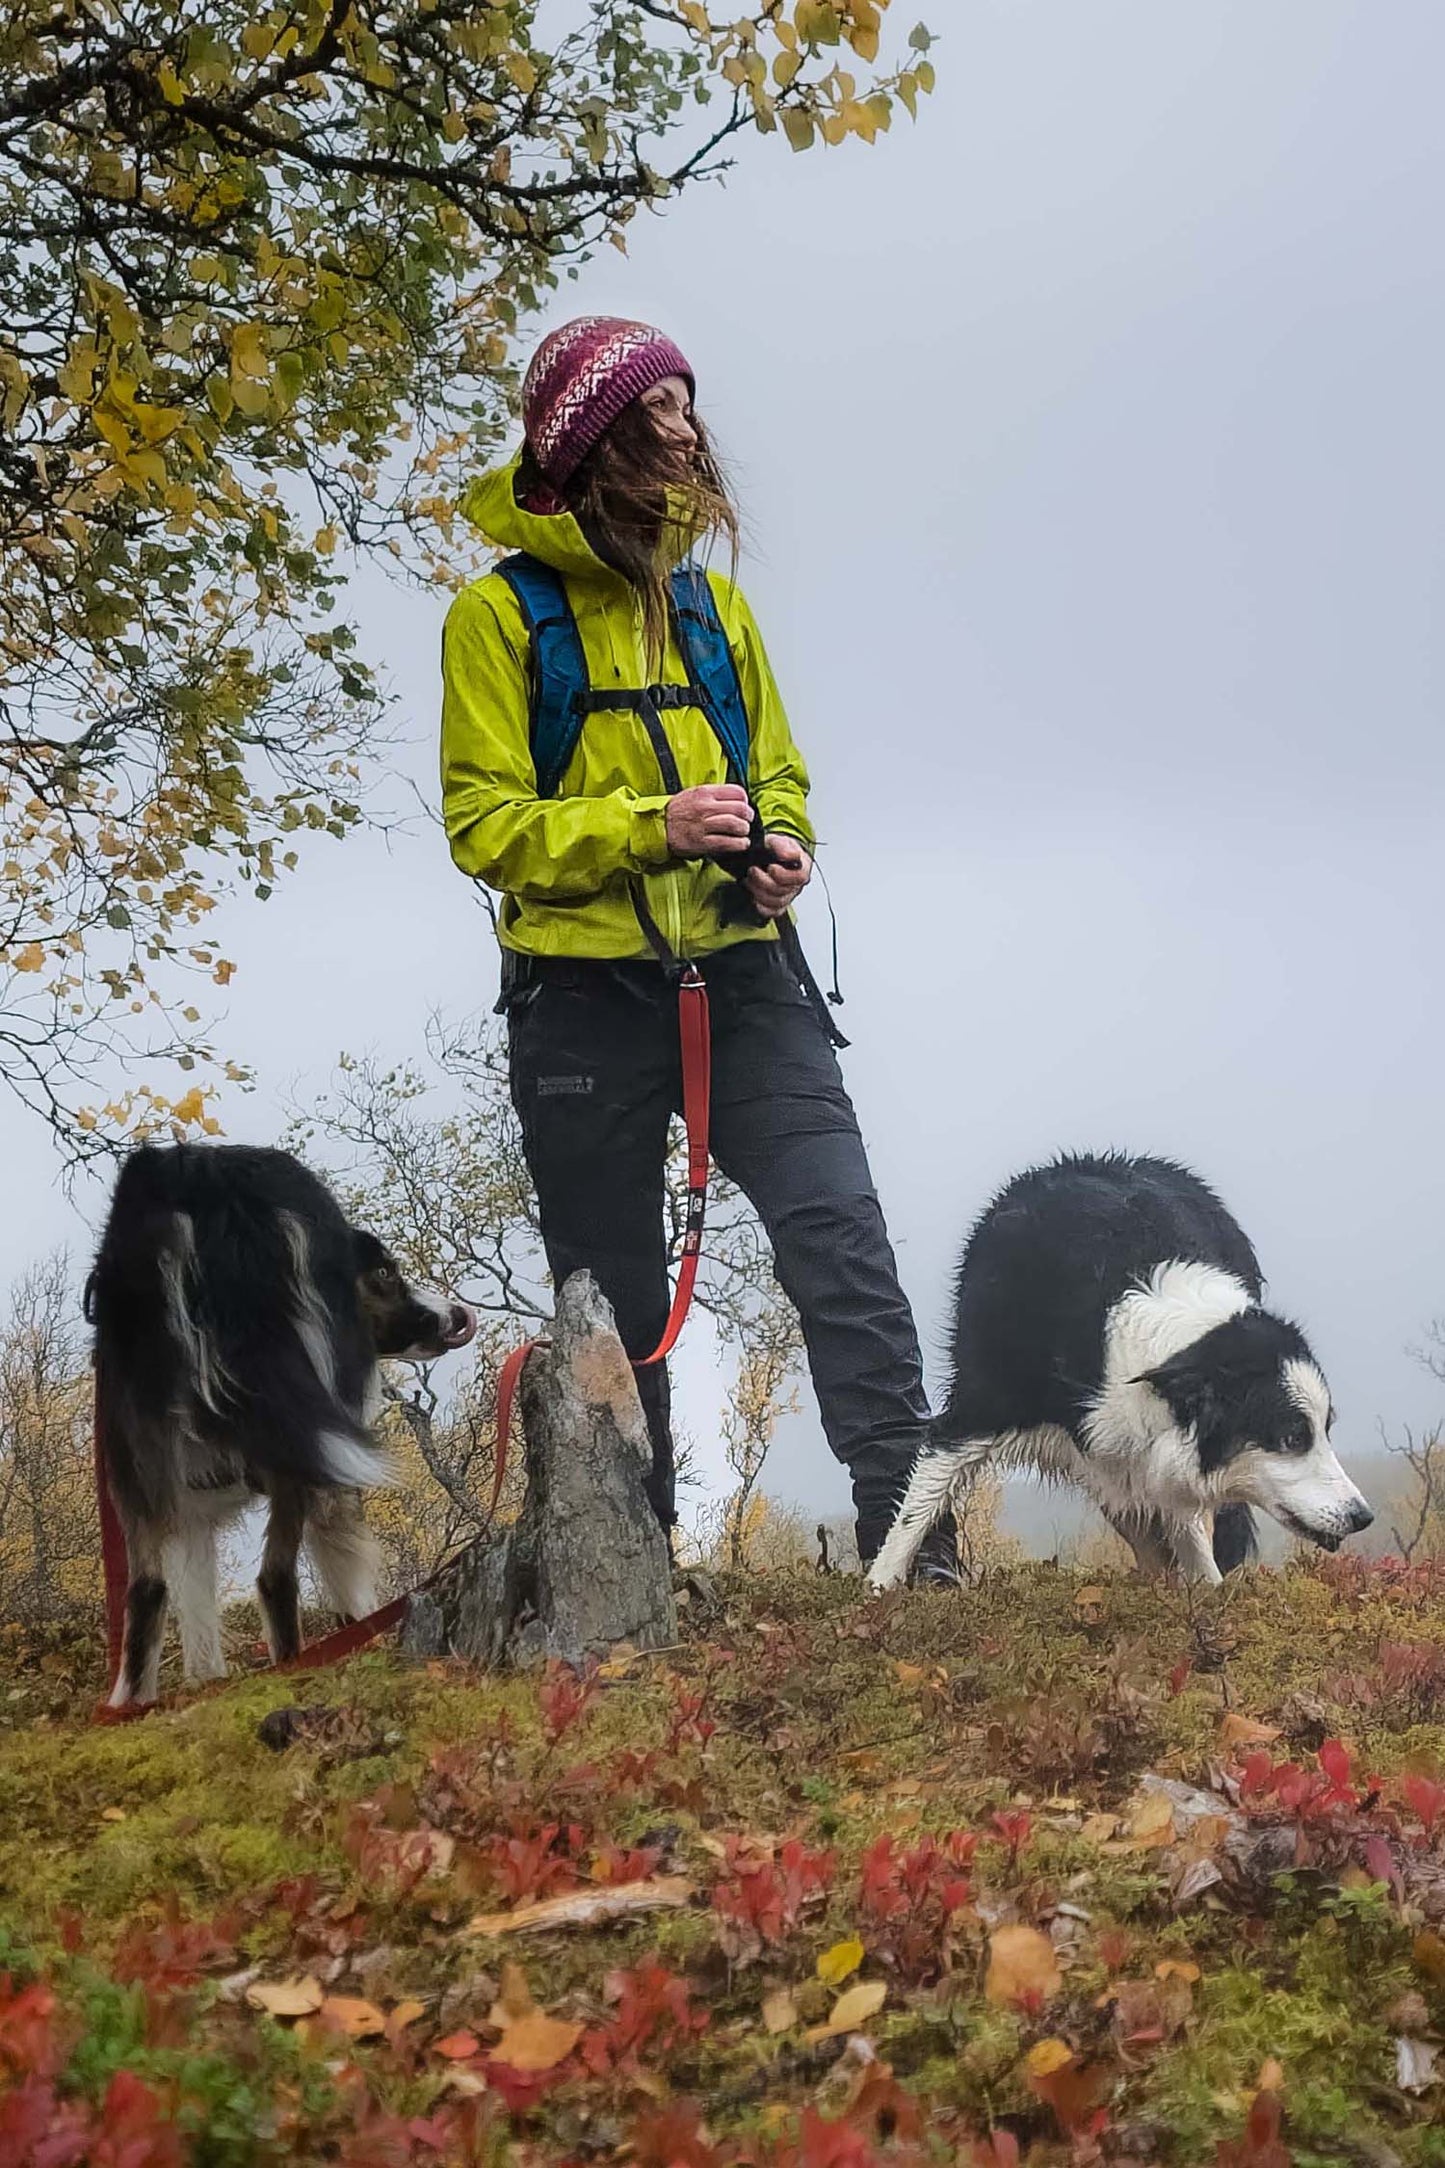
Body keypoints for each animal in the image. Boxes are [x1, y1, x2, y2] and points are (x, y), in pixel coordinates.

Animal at [87, 1144, 476, 1699]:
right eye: (385, 1274)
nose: (457, 1315)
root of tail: (191, 1179)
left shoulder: (189, 1511)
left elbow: (194, 1612)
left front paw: (207, 1685)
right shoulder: (333, 1472)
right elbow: (347, 1576)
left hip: (132, 1463)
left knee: (147, 1592)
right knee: (275, 1578)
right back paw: (296, 1669)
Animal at [870, 1153, 1377, 1595]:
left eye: (1326, 1429)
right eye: (1293, 1437)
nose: (1362, 1517)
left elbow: (1189, 1536)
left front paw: (1207, 1597)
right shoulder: (979, 1407)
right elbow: (916, 1509)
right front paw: (878, 1593)